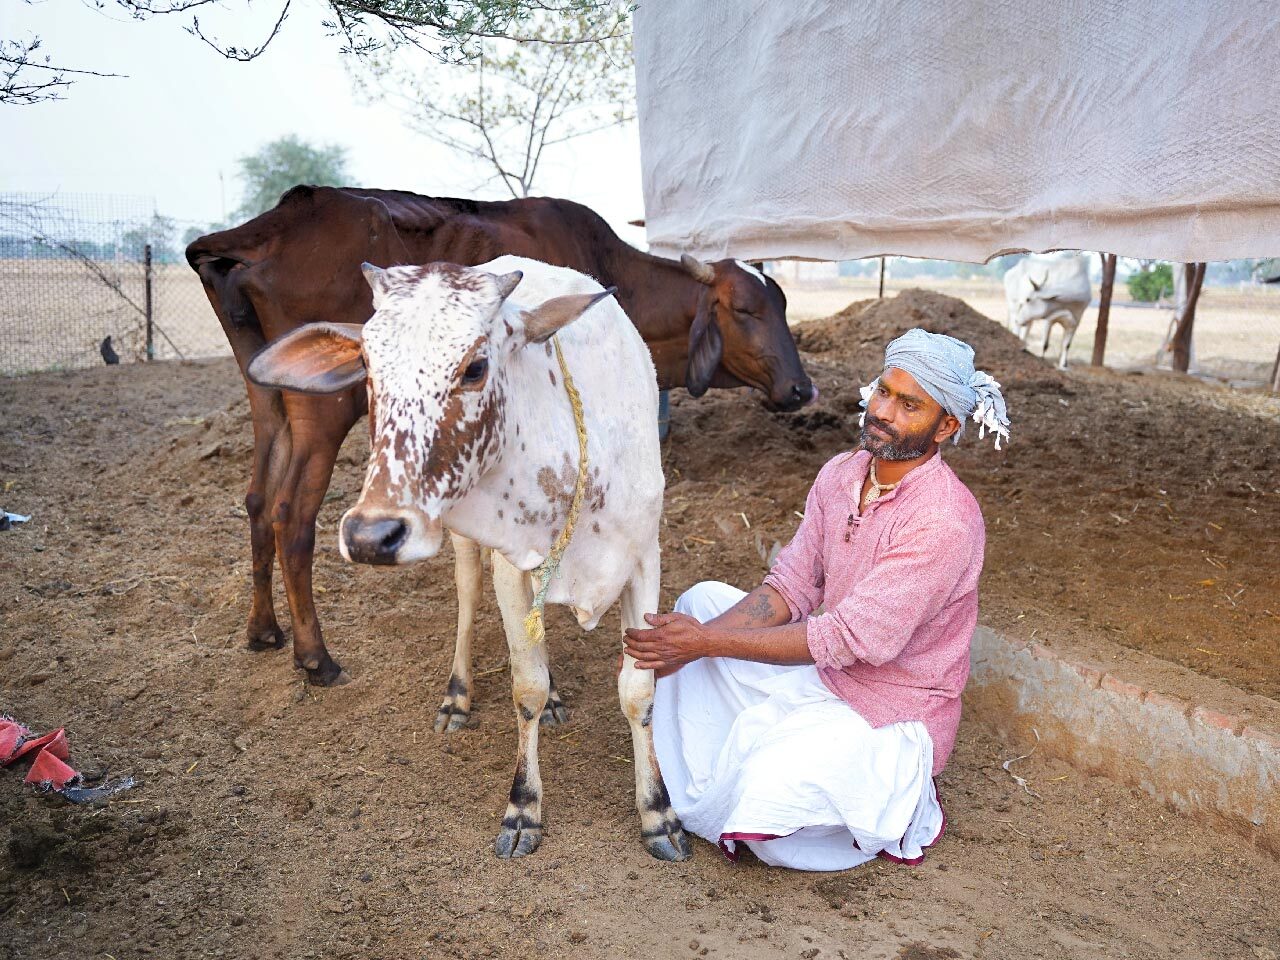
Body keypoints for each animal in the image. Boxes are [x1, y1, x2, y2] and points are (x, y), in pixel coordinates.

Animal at [186, 186, 815, 688]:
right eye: (744, 308)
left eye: (781, 302)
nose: (801, 388)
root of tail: (258, 230)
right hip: (322, 411)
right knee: (291, 514)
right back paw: (315, 657)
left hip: (269, 397)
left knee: (258, 500)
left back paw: (263, 629)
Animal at [246, 255, 691, 862]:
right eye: (365, 366)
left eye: (476, 366)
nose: (369, 534)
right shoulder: (510, 564)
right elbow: (525, 685)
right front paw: (523, 806)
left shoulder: (644, 557)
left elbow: (637, 692)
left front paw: (658, 813)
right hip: (464, 541)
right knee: (467, 596)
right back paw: (459, 696)